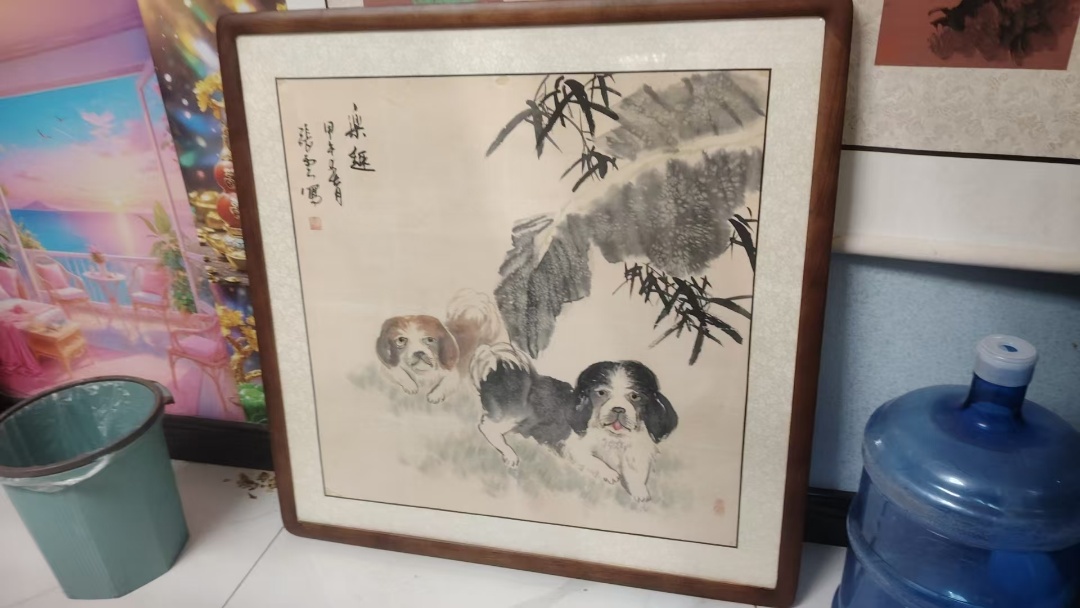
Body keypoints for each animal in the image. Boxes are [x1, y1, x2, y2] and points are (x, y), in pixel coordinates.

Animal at [376, 290, 506, 403]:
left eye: (430, 339)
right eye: (401, 340)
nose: (419, 352)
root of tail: (473, 317)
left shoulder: (454, 375)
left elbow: (444, 384)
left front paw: (435, 395)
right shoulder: (388, 369)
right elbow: (398, 372)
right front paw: (410, 385)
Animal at [472, 344, 678, 502]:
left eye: (635, 396)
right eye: (601, 393)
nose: (618, 409)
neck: (612, 437)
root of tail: (500, 374)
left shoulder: (634, 453)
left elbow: (636, 473)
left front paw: (639, 491)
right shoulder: (574, 446)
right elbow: (594, 460)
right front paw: (609, 473)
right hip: (518, 414)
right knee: (487, 427)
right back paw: (509, 453)